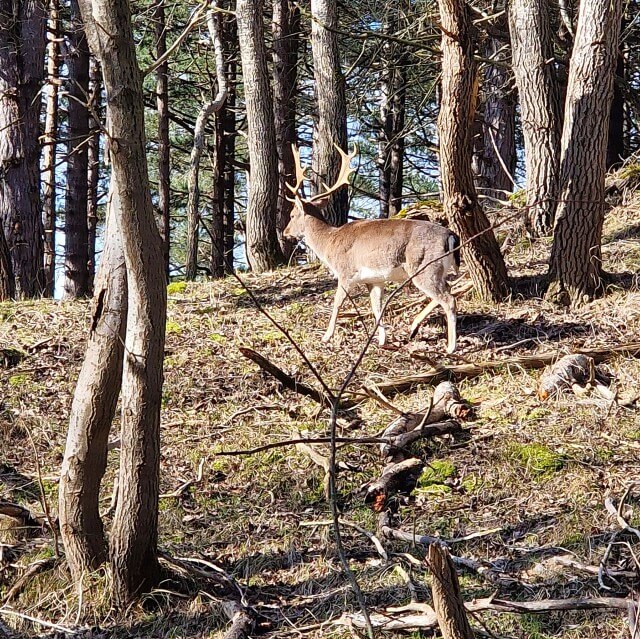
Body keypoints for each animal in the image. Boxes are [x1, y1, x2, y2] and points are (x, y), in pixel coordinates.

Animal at [284, 146, 460, 356]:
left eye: (292, 215)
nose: (285, 232)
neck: (329, 243)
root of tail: (451, 235)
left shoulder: (345, 271)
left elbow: (337, 303)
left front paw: (326, 336)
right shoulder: (374, 280)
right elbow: (377, 307)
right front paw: (382, 340)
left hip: (425, 266)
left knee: (448, 298)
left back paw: (451, 347)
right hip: (437, 269)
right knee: (450, 289)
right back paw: (414, 327)